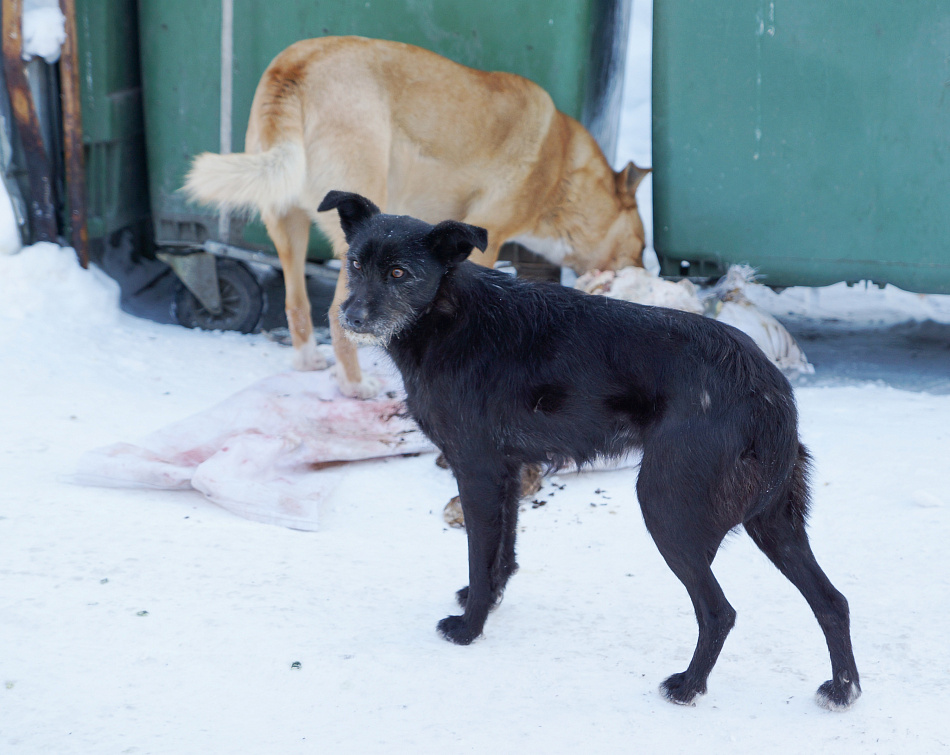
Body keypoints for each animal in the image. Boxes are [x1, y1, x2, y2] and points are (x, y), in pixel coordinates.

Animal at [186, 36, 652, 398]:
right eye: (642, 244)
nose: (645, 272)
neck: (561, 172)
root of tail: (294, 66)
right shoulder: (488, 237)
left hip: (286, 225)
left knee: (297, 303)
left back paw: (308, 361)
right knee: (336, 318)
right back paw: (355, 387)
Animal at [320, 189, 864, 708]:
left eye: (399, 273)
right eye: (354, 264)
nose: (350, 317)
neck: (445, 315)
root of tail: (771, 393)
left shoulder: (475, 469)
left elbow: (480, 554)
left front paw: (469, 629)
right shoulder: (508, 470)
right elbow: (501, 554)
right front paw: (487, 600)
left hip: (667, 508)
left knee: (719, 612)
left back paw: (688, 687)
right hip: (775, 522)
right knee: (832, 601)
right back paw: (843, 690)